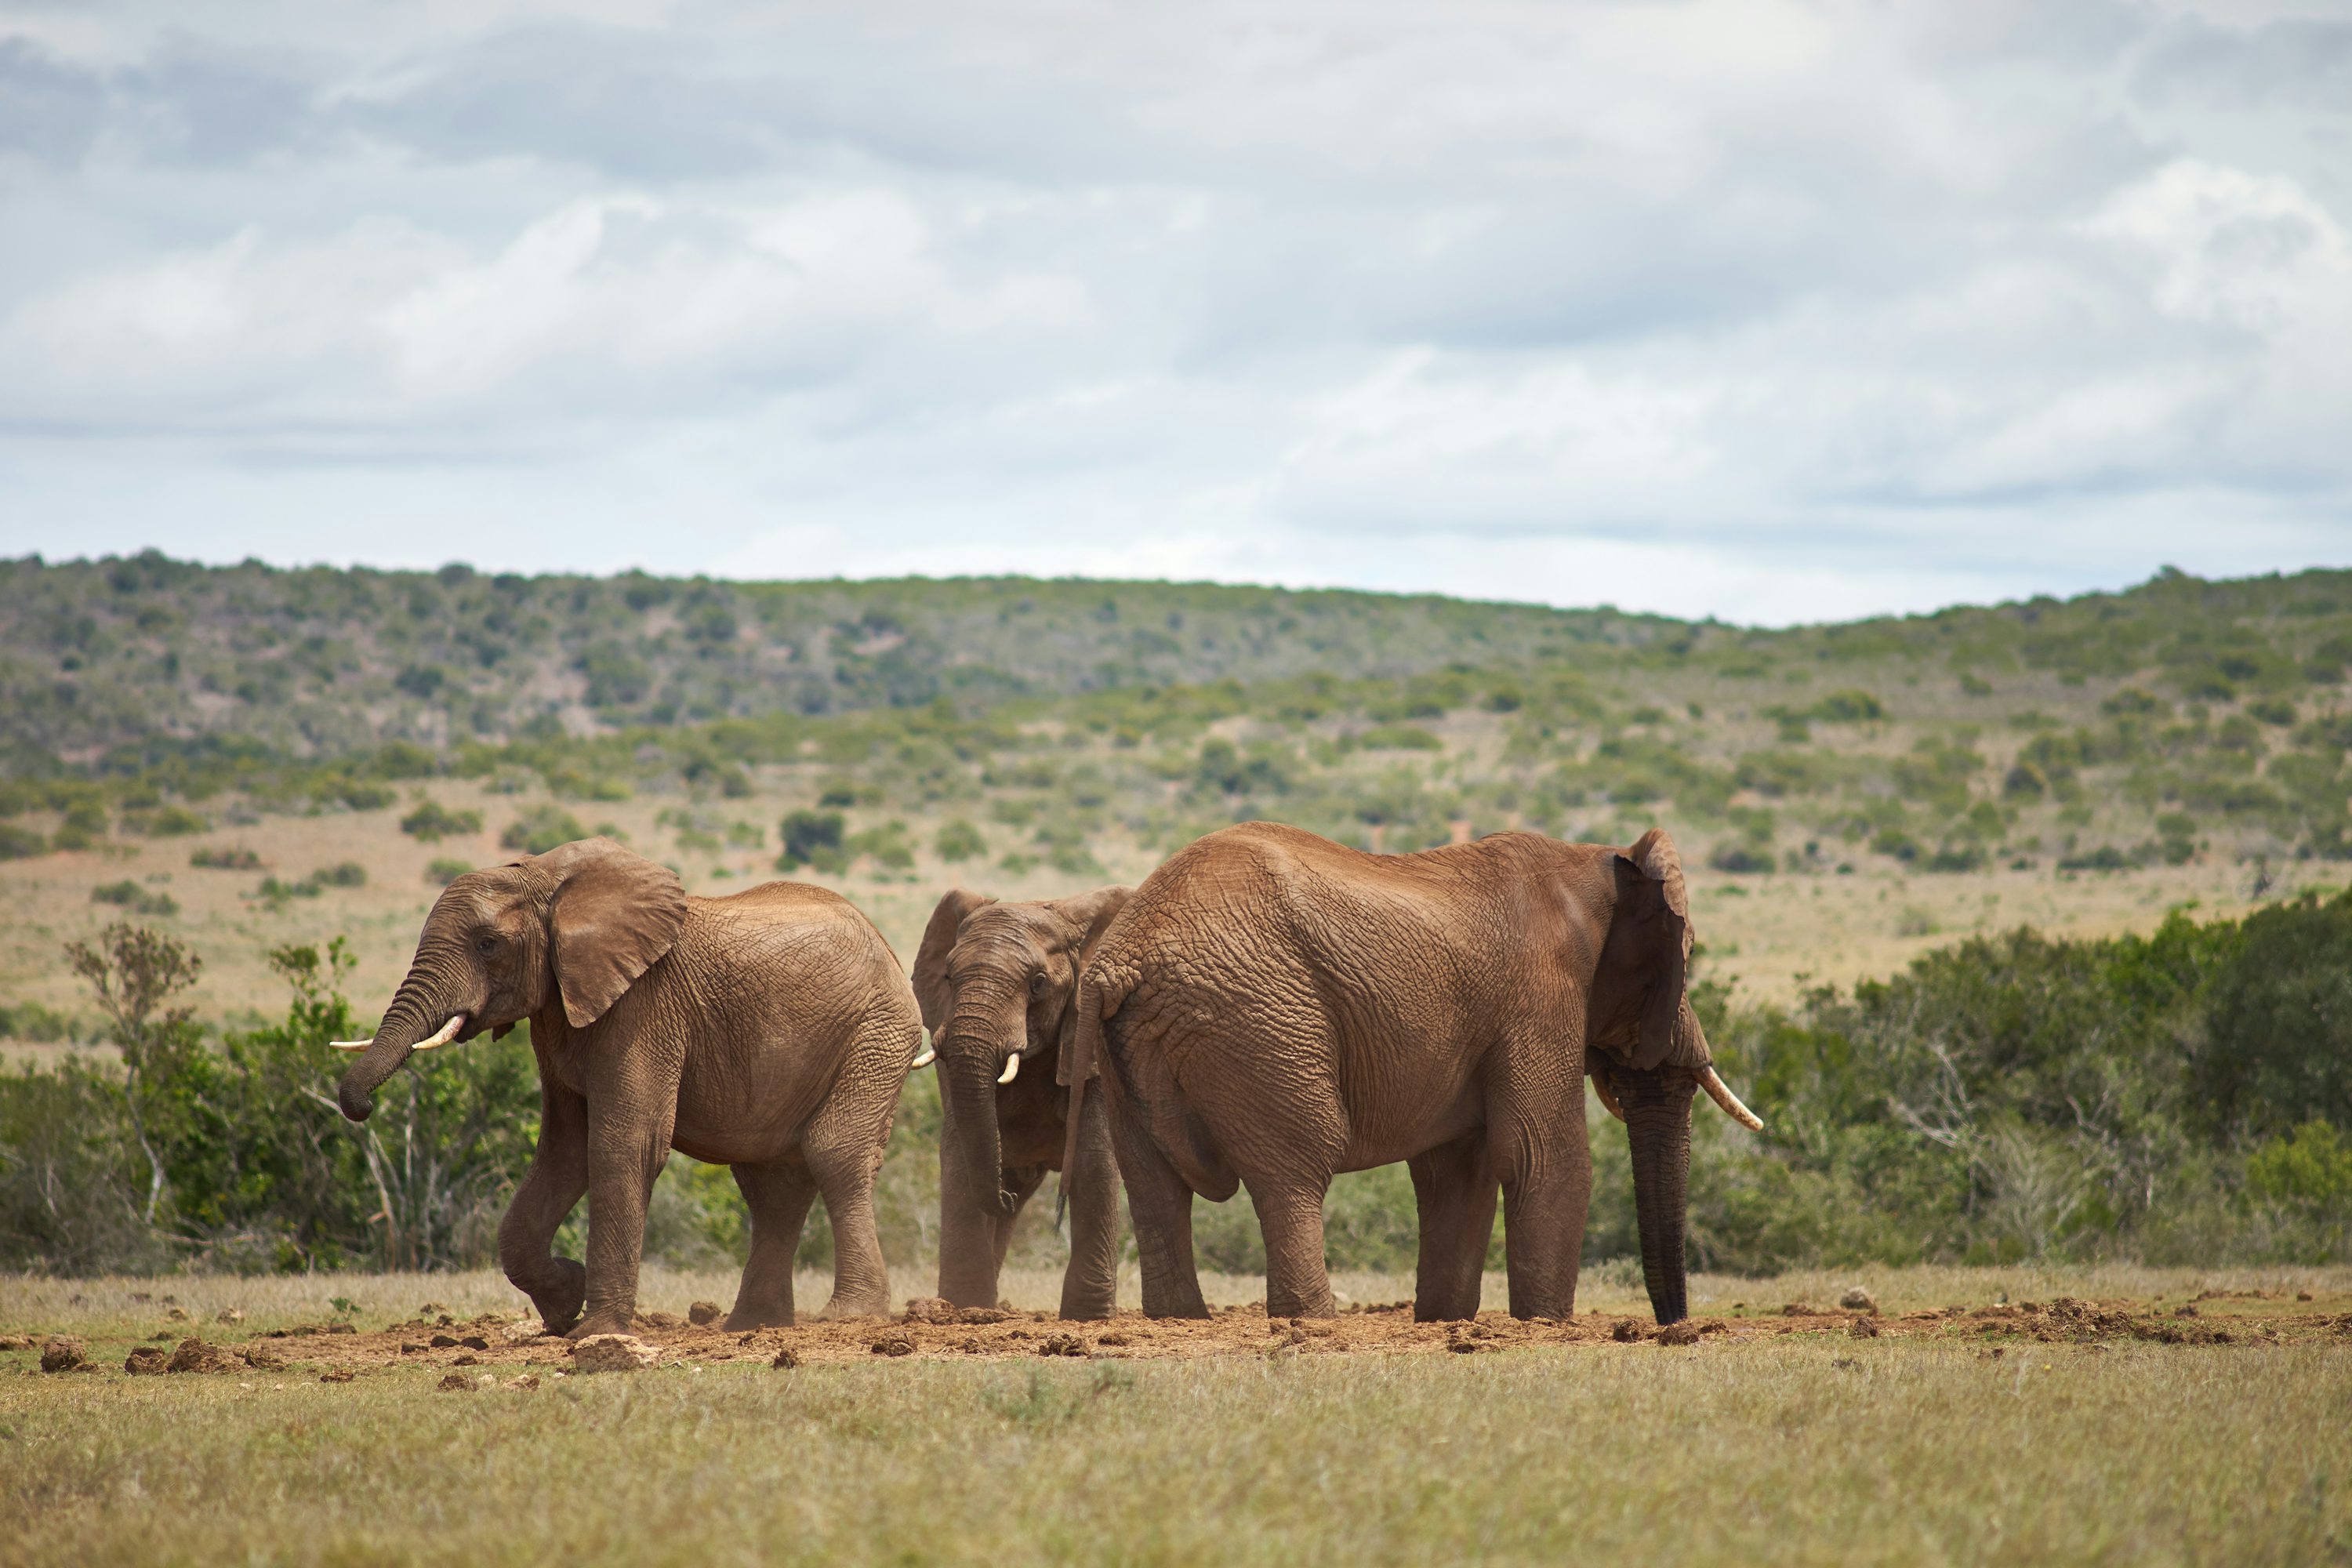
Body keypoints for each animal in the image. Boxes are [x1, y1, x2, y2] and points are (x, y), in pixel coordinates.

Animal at [330, 837, 923, 1338]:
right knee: (770, 1186)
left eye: (487, 944)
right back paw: (752, 1327)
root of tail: (884, 941)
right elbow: (563, 1153)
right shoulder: (559, 1013)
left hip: (876, 1033)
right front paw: (565, 1306)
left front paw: (595, 1332)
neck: (547, 878)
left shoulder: (645, 1007)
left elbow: (624, 1147)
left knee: (833, 1153)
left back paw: (848, 1315)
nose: (361, 1107)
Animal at [911, 886, 1129, 1320]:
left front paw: (1087, 1318)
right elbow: (959, 1152)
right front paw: (963, 1308)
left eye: (1038, 983)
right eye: (948, 977)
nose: (1004, 1198)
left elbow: (1095, 1159)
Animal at [1061, 821, 1761, 1326]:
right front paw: (1544, 1324)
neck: (1597, 862)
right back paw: (1311, 1322)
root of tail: (1117, 963)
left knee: (1153, 1183)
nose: (1674, 1326)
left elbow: (1459, 1172)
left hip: (1134, 1048)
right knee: (1295, 1167)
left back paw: (1181, 1320)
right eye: (1686, 952)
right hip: (1258, 1019)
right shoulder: (1540, 995)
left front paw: (1444, 1321)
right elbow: (1545, 1157)